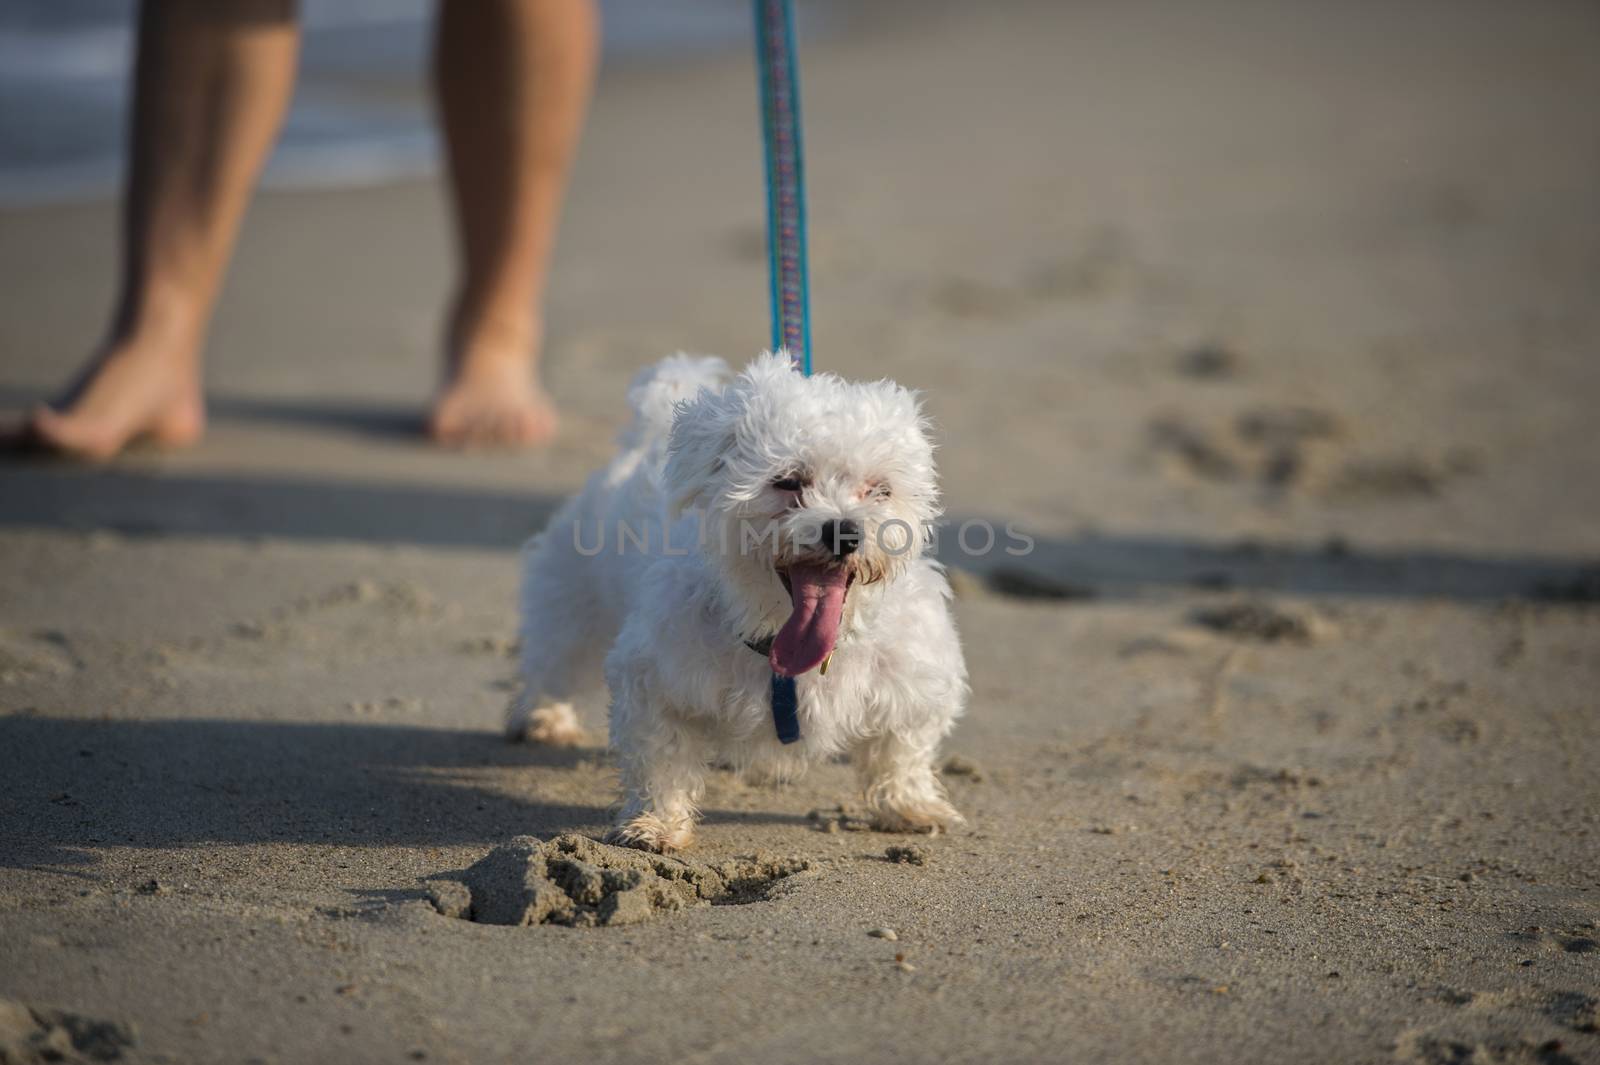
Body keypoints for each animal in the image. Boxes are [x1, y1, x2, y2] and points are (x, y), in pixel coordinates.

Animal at [508, 351, 960, 850]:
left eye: (879, 489)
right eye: (788, 482)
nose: (844, 531)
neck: (774, 630)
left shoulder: (913, 681)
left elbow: (901, 751)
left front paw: (909, 806)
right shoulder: (656, 679)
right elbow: (662, 758)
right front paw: (657, 824)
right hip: (574, 604)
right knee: (556, 660)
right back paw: (546, 715)